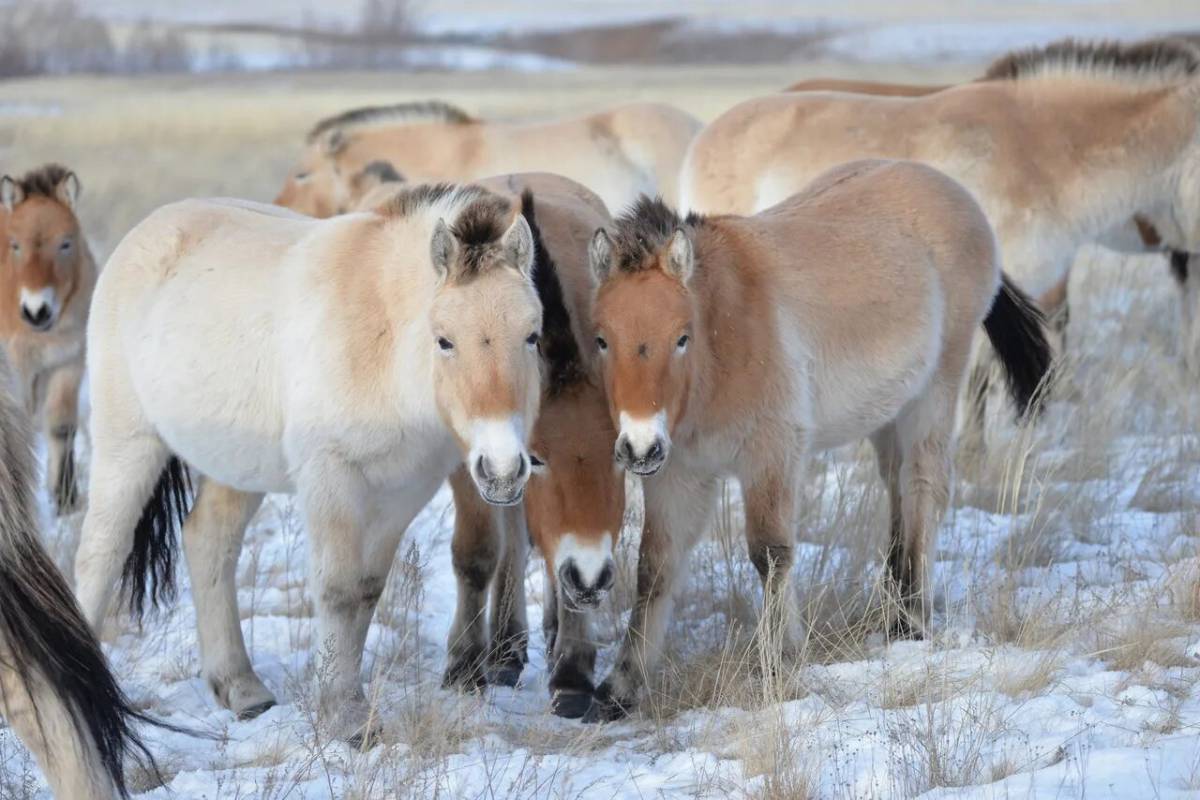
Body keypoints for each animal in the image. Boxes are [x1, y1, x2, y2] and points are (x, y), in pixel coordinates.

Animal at [0, 165, 96, 513]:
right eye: (15, 245)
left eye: (65, 243)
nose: (36, 310)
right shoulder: (18, 372)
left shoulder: (68, 363)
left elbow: (61, 427)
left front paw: (65, 497)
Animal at [75, 183, 544, 743]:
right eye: (445, 340)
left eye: (532, 336)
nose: (503, 468)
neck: (382, 339)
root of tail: (145, 234)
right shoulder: (331, 479)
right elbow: (338, 590)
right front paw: (342, 717)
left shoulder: (401, 492)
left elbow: (366, 589)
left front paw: (350, 704)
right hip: (128, 442)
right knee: (102, 551)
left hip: (238, 467)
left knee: (209, 542)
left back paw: (241, 688)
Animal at [580, 160, 1051, 719]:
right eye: (603, 339)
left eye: (680, 337)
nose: (638, 446)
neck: (724, 333)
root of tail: (951, 190)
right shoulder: (678, 473)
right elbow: (655, 568)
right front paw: (621, 686)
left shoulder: (772, 455)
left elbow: (771, 554)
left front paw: (779, 662)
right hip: (888, 411)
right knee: (897, 490)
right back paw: (892, 614)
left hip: (935, 390)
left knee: (924, 487)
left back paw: (911, 621)